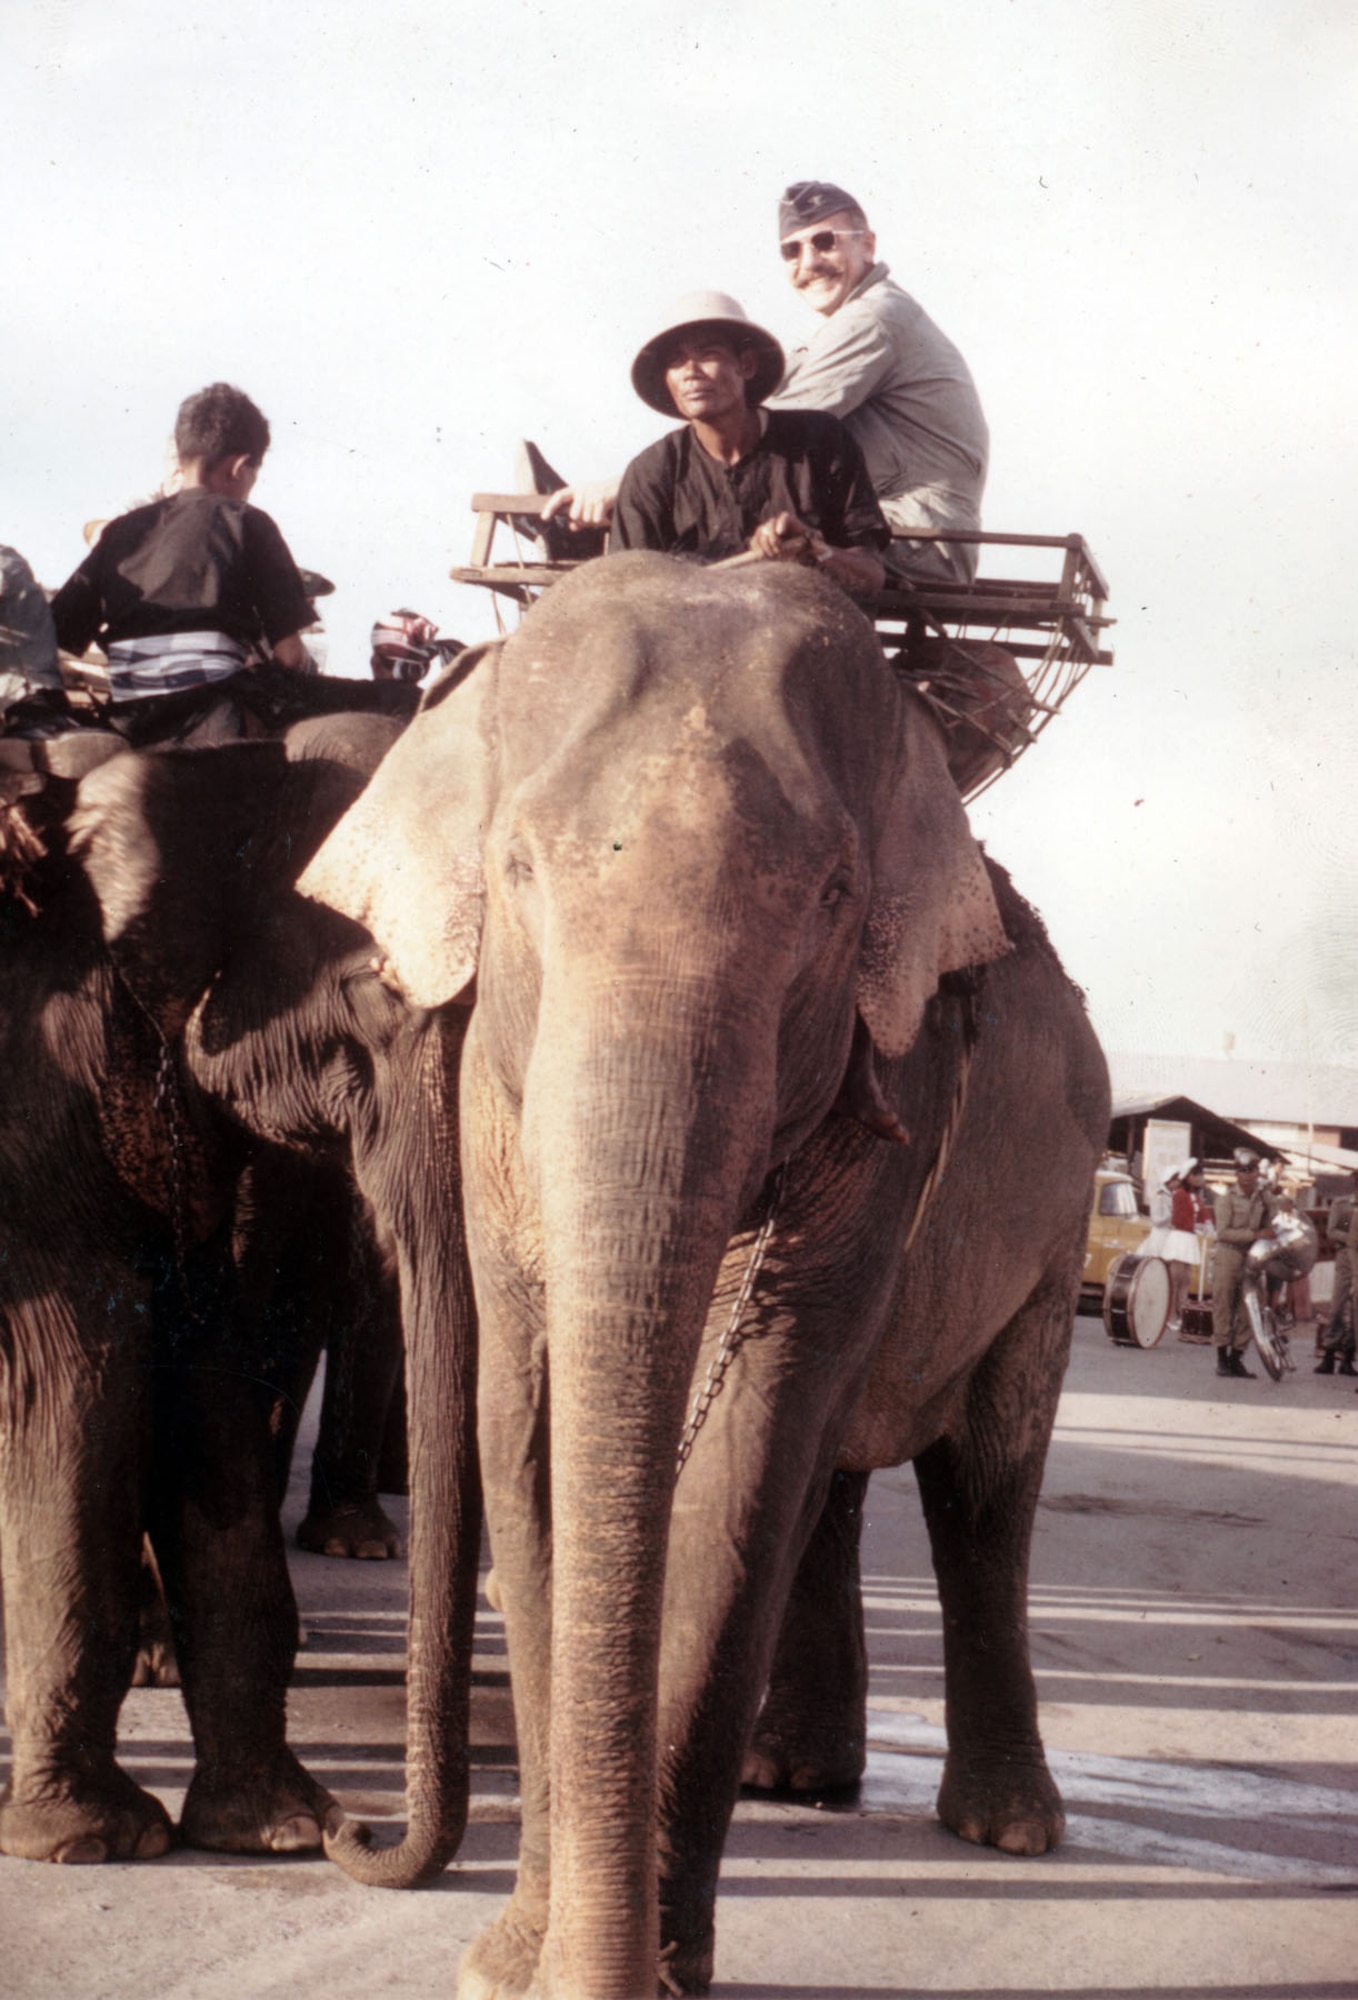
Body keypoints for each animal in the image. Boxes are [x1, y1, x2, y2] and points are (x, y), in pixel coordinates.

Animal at [0, 708, 478, 1872]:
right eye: (378, 982)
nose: (365, 1828)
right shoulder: (35, 1099)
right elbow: (82, 1385)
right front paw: (93, 1841)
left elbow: (203, 1394)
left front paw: (280, 1829)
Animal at [302, 552, 1112, 2000]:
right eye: (515, 868)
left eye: (836, 898)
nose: (345, 1824)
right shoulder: (498, 1121)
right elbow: (527, 1428)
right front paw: (513, 1963)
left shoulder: (896, 1092)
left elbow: (746, 1446)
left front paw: (645, 1969)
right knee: (835, 1482)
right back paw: (798, 1775)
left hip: (1062, 1217)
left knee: (979, 1481)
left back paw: (1006, 1830)